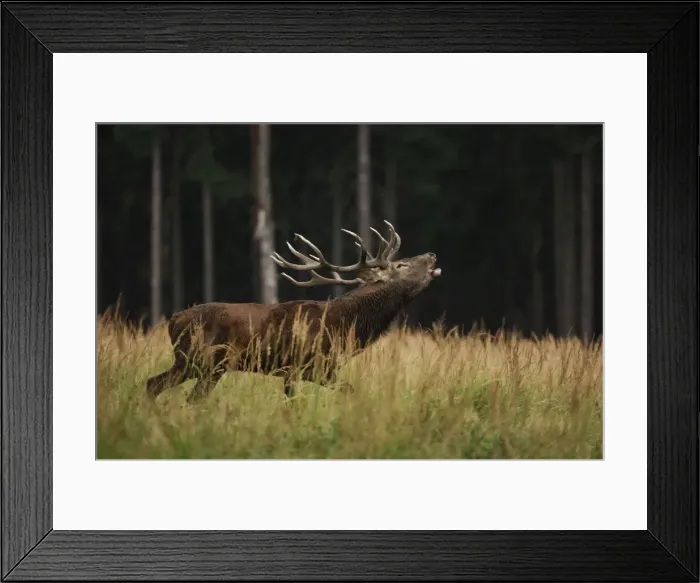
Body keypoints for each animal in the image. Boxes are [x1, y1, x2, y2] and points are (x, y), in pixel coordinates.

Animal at [145, 220, 441, 402]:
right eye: (401, 265)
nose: (432, 255)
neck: (343, 326)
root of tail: (173, 321)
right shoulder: (298, 366)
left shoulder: (322, 370)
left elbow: (351, 391)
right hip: (199, 360)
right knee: (164, 388)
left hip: (202, 365)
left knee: (158, 385)